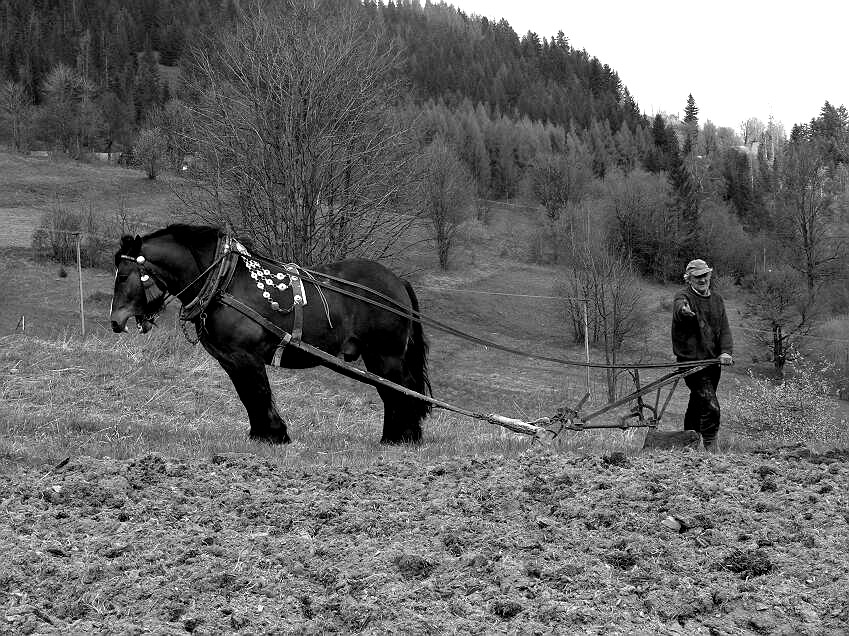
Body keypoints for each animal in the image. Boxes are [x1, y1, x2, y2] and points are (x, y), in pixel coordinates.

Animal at [109, 226, 430, 444]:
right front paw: (262, 434)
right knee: (394, 392)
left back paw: (401, 438)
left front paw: (274, 434)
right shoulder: (230, 359)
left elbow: (258, 391)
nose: (115, 321)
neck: (224, 281)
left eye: (123, 275)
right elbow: (247, 394)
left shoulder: (246, 355)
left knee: (399, 390)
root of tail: (397, 281)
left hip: (385, 355)